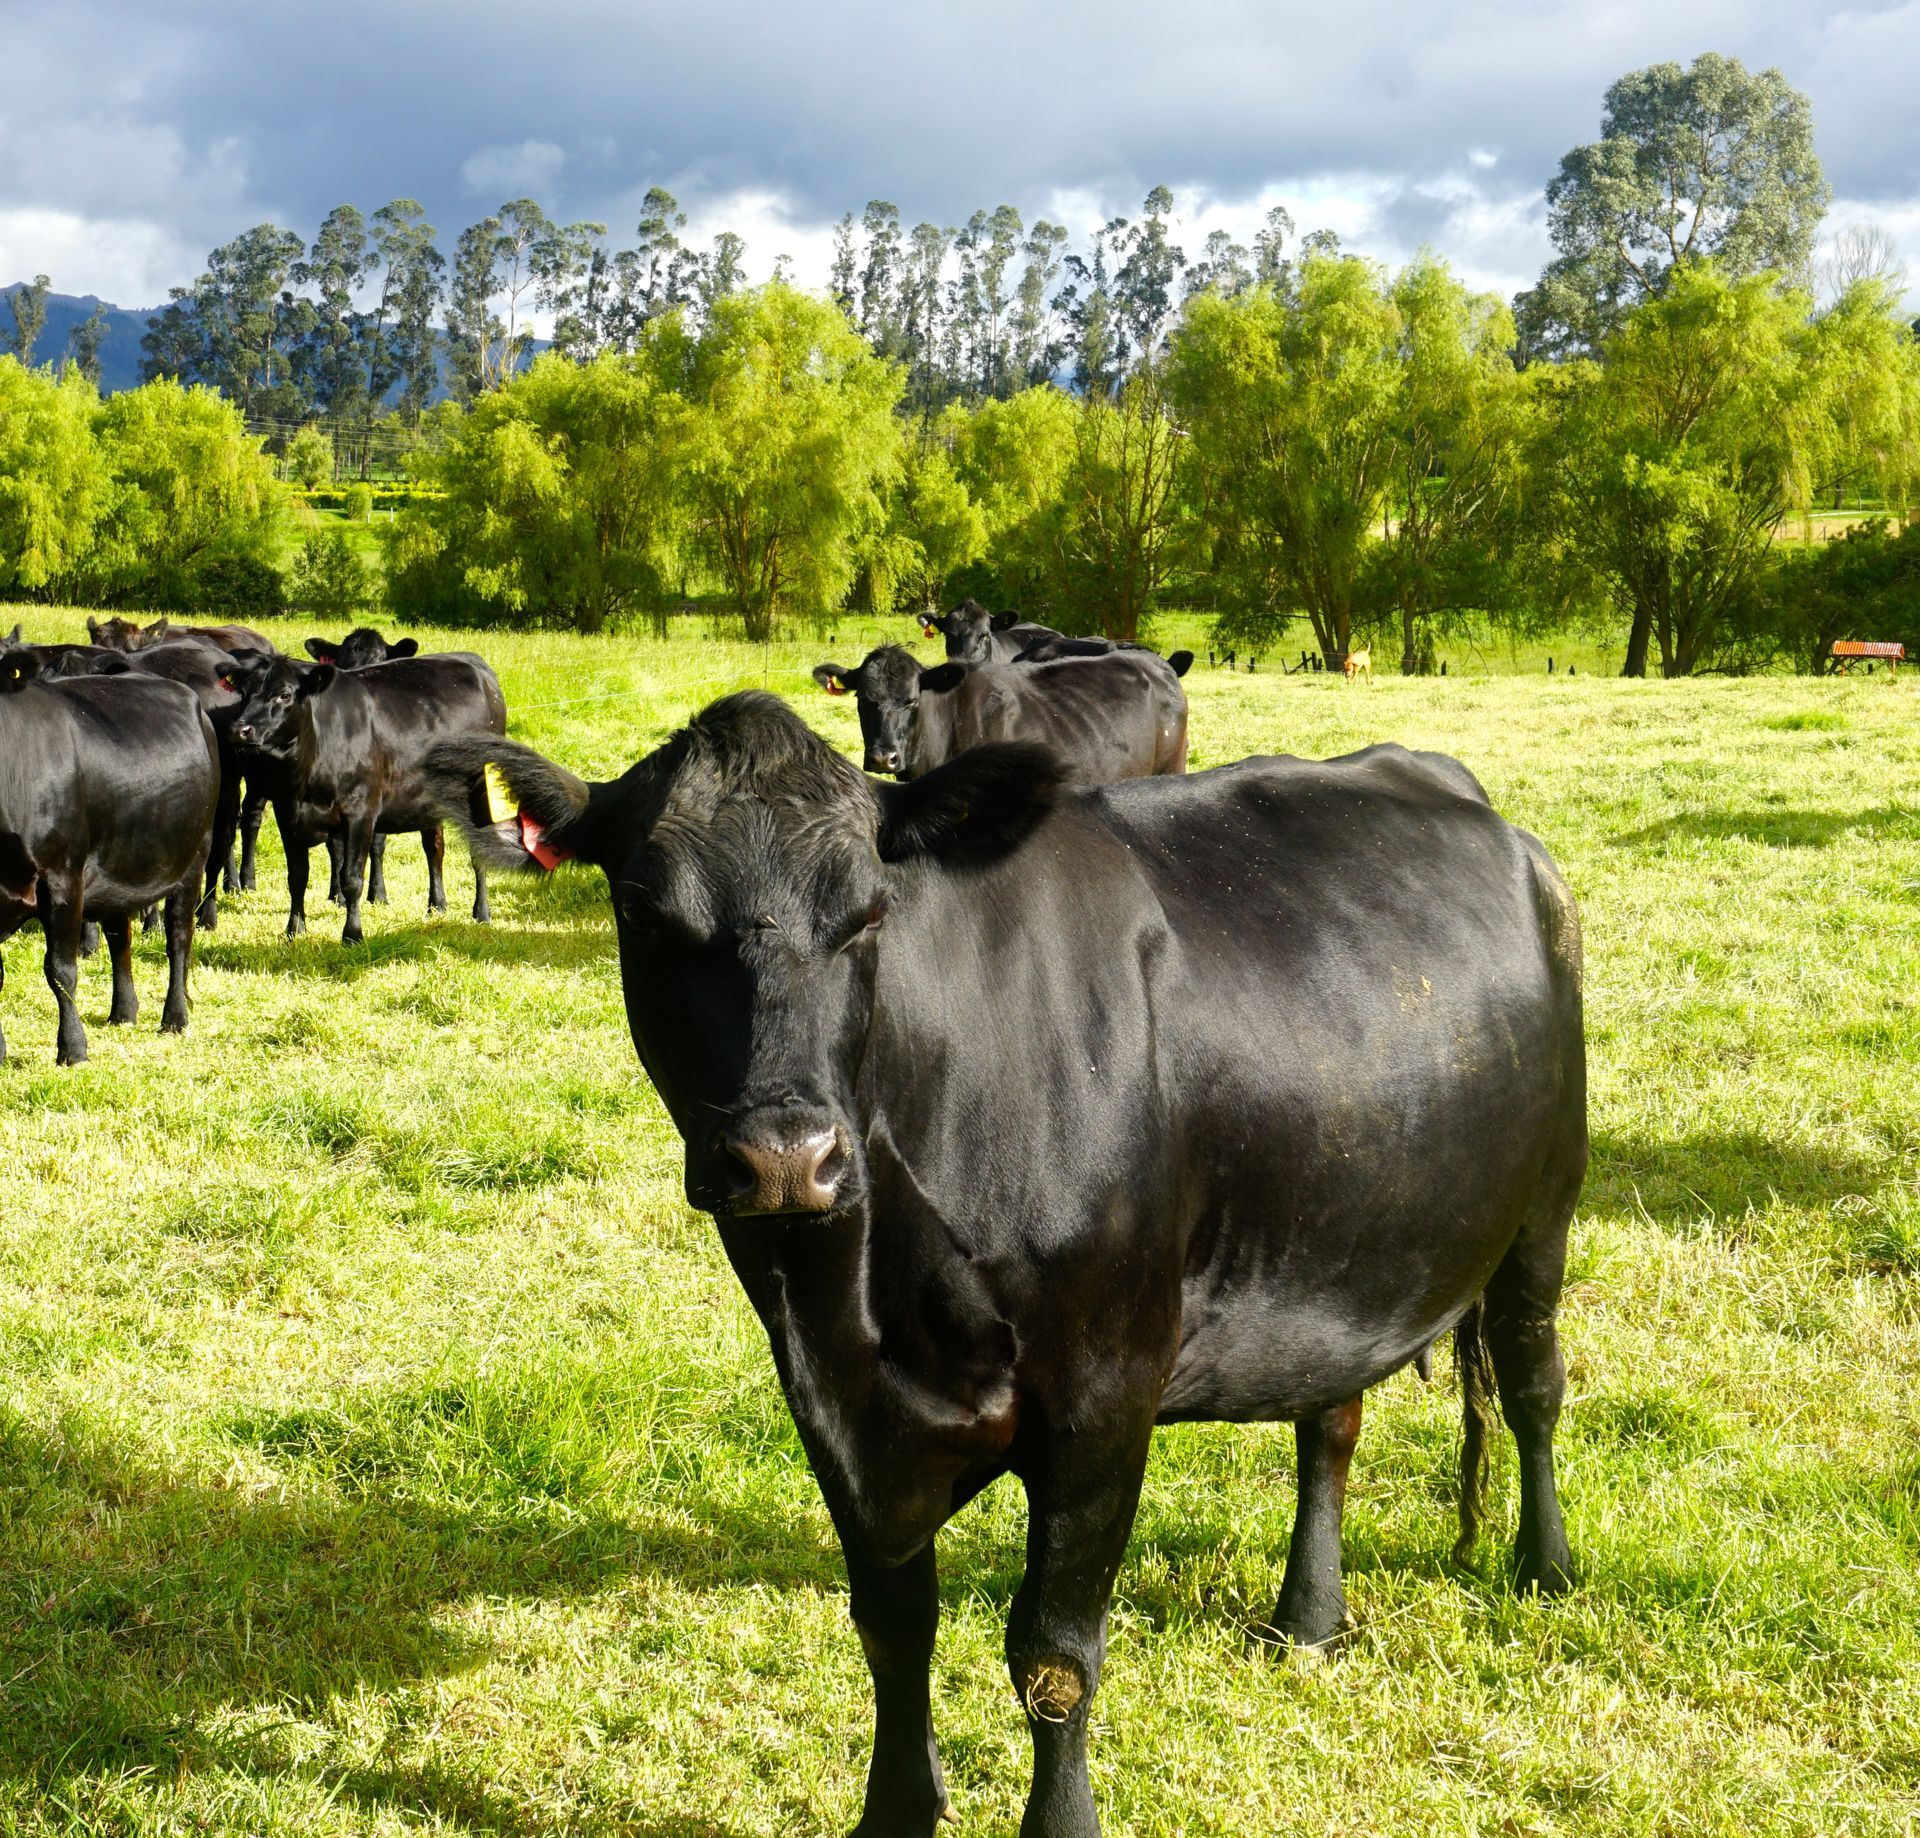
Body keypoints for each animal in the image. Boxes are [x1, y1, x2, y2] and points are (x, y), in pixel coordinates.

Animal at [0, 642, 219, 1065]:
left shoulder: (62, 876)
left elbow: (61, 969)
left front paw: (73, 1048)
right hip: (125, 861)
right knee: (121, 937)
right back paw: (124, 1011)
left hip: (194, 856)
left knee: (178, 935)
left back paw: (175, 1016)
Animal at [228, 650, 505, 943]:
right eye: (244, 693)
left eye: (284, 694)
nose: (239, 729)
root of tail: (471, 660)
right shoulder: (287, 813)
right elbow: (297, 877)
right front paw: (295, 929)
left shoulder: (360, 813)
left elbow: (351, 879)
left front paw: (352, 934)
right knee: (434, 848)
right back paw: (437, 906)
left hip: (481, 791)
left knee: (479, 852)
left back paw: (481, 912)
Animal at [426, 690, 1585, 1838]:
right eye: (644, 916)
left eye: (870, 914)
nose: (786, 1155)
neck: (867, 1292)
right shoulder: (834, 1408)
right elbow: (892, 1626)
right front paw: (894, 1812)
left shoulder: (1105, 1395)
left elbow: (1053, 1654)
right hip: (1343, 1234)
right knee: (1330, 1420)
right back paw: (1307, 1616)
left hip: (1546, 1201)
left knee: (1534, 1380)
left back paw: (1548, 1569)